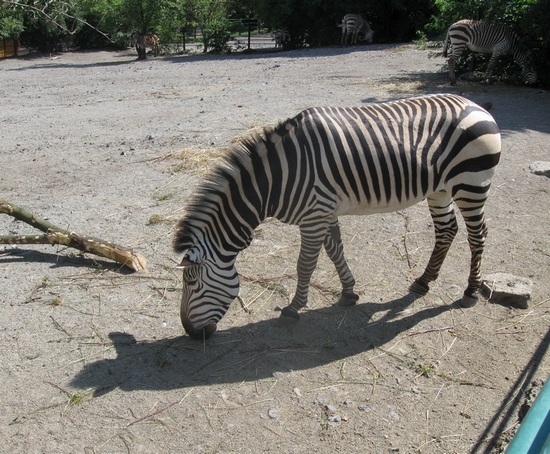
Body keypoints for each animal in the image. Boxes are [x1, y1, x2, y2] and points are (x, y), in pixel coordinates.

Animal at [175, 93, 502, 340]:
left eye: (192, 283)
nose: (191, 333)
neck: (278, 178)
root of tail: (473, 103)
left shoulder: (314, 216)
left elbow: (305, 265)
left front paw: (293, 308)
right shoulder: (324, 212)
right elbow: (335, 251)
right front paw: (348, 292)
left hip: (471, 182)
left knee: (478, 235)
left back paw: (471, 291)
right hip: (441, 189)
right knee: (447, 230)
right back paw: (423, 281)